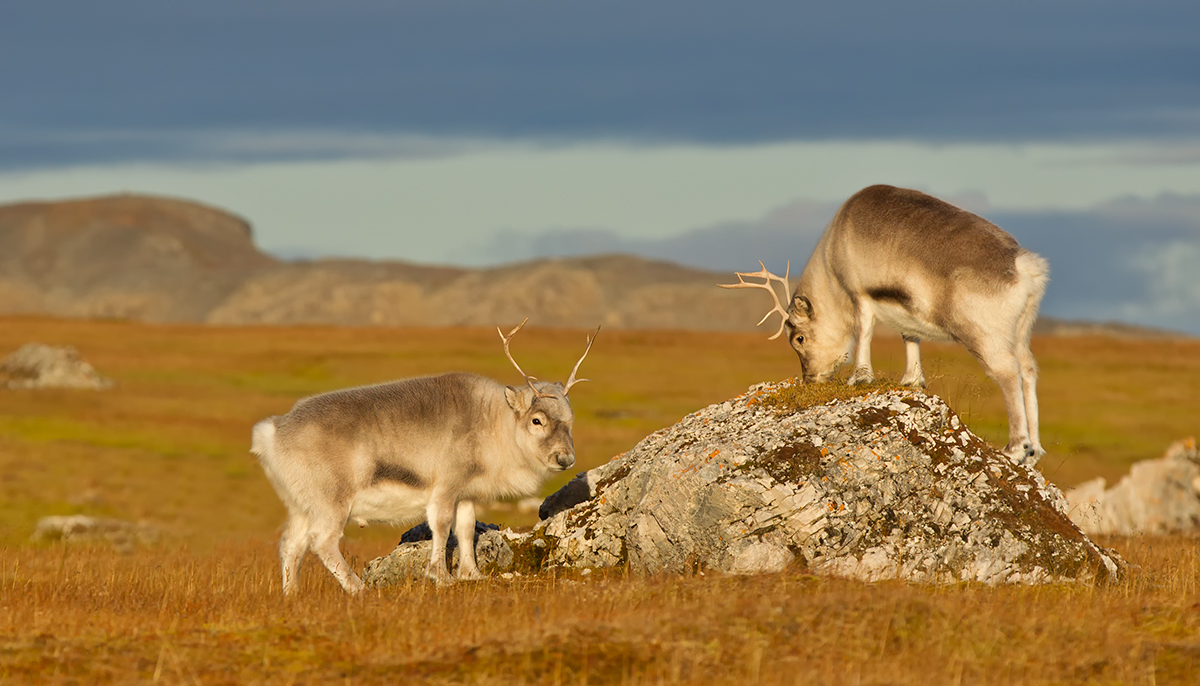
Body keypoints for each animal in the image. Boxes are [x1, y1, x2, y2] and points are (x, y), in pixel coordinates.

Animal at [251, 320, 599, 594]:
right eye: (536, 420)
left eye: (570, 419)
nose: (565, 459)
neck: (492, 424)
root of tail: (274, 429)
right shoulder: (444, 487)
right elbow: (441, 527)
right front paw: (441, 576)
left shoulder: (465, 493)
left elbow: (465, 529)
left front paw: (471, 574)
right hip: (331, 502)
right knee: (322, 541)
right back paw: (359, 589)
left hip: (300, 506)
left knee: (291, 544)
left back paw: (292, 595)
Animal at [721, 185, 1049, 465]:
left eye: (798, 338)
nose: (811, 378)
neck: (830, 261)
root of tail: (1025, 267)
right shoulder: (904, 310)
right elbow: (910, 337)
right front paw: (911, 380)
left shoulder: (859, 295)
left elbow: (863, 333)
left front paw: (860, 377)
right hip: (1021, 333)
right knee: (1029, 370)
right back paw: (1034, 451)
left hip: (985, 336)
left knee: (1008, 373)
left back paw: (1016, 449)